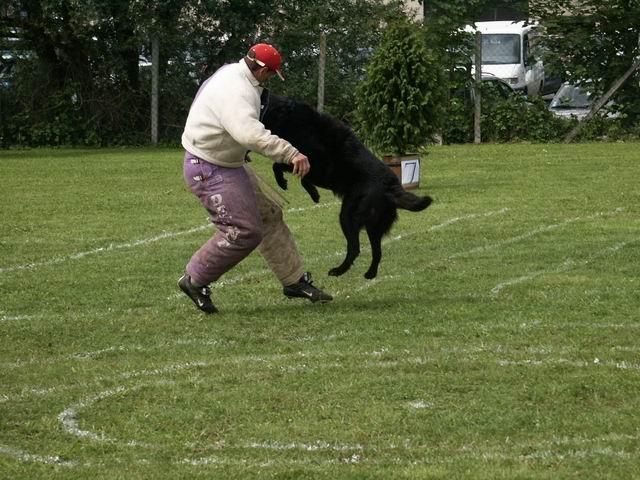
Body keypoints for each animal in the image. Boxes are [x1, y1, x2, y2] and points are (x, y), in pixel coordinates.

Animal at [262, 92, 436, 280]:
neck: (286, 115)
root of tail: (391, 189)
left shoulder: (312, 164)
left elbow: (279, 167)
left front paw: (285, 183)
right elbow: (297, 175)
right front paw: (314, 194)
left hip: (348, 216)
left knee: (355, 248)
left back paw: (339, 270)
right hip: (373, 226)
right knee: (377, 252)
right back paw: (370, 274)